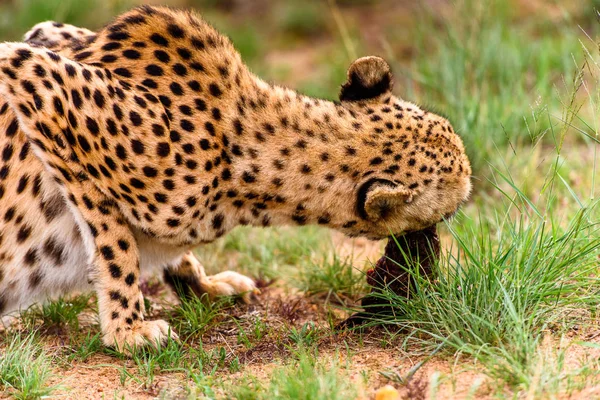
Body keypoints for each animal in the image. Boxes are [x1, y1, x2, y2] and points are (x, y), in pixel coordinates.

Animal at [0, 5, 472, 350]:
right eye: (449, 210)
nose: (433, 240)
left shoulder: (46, 35)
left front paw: (202, 284)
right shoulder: (34, 76)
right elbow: (114, 240)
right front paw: (127, 330)